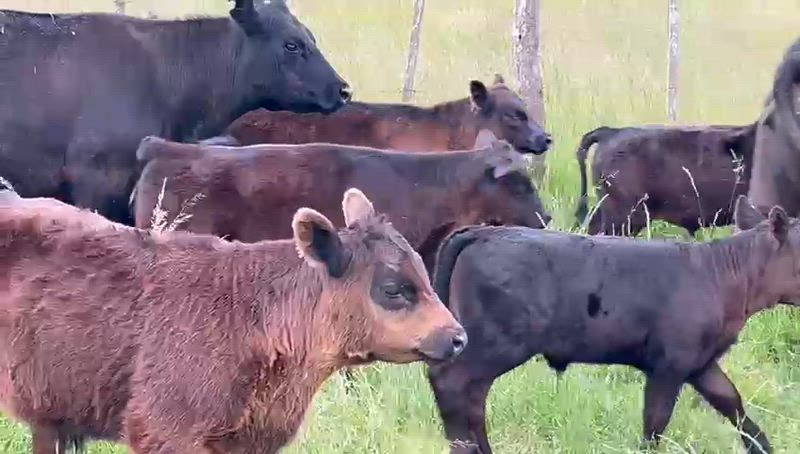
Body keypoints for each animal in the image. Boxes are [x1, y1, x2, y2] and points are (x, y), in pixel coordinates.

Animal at [427, 195, 800, 454]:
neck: (720, 275)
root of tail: (484, 232)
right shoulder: (668, 365)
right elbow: (655, 422)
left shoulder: (701, 363)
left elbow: (733, 404)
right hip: (496, 342)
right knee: (451, 383)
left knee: (472, 397)